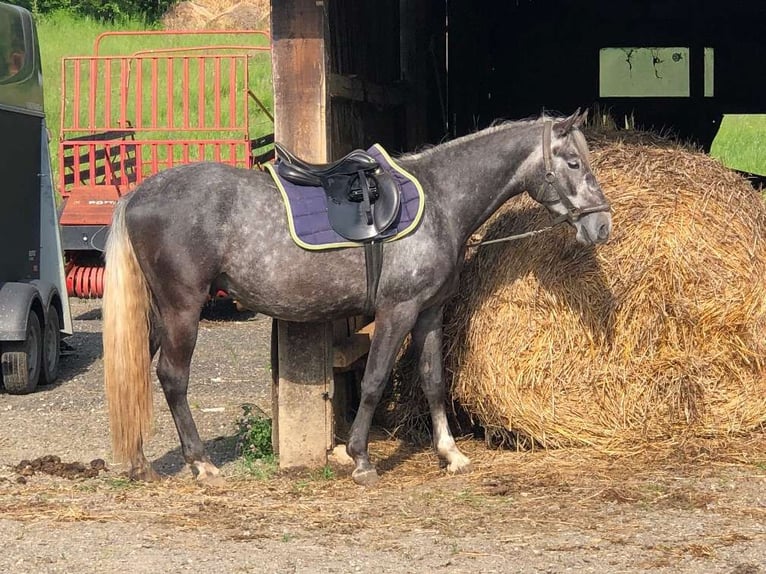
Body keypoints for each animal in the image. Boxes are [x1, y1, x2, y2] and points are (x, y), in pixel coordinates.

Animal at [105, 109, 616, 486]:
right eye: (574, 162)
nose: (602, 226)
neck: (441, 200)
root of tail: (138, 196)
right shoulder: (397, 310)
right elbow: (373, 381)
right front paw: (361, 459)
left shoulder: (429, 312)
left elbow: (434, 380)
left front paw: (450, 454)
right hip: (182, 309)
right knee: (173, 378)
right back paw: (202, 464)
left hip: (157, 313)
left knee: (138, 372)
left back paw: (139, 464)